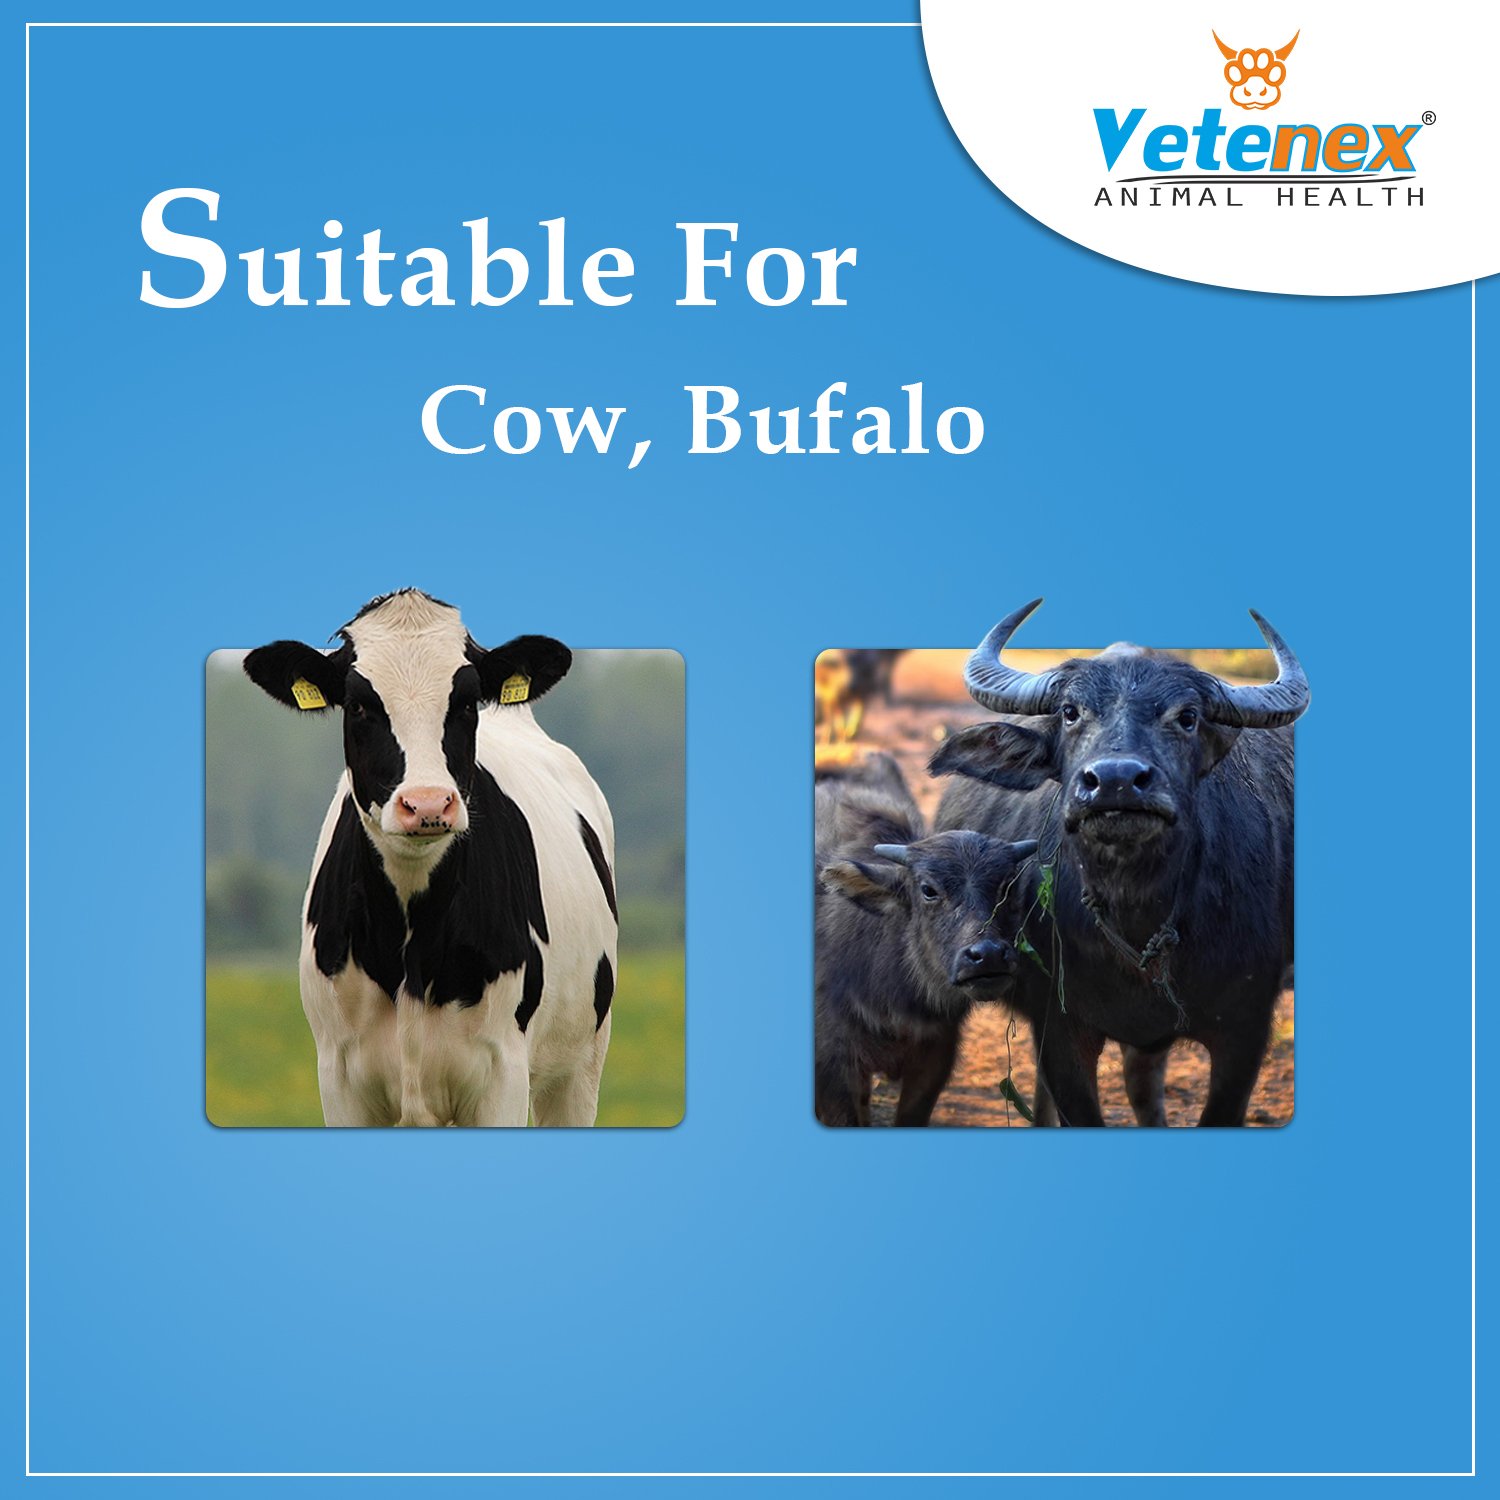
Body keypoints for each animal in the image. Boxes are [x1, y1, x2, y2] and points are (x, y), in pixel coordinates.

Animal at [242, 589, 618, 1127]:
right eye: (358, 705)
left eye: (464, 702)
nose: (426, 804)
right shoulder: (338, 1077)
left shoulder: (502, 1074)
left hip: (581, 1064)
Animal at [930, 600, 1307, 1127]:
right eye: (1070, 712)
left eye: (1188, 717)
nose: (1116, 780)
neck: (1135, 906)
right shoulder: (1058, 1029)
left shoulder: (1246, 1028)